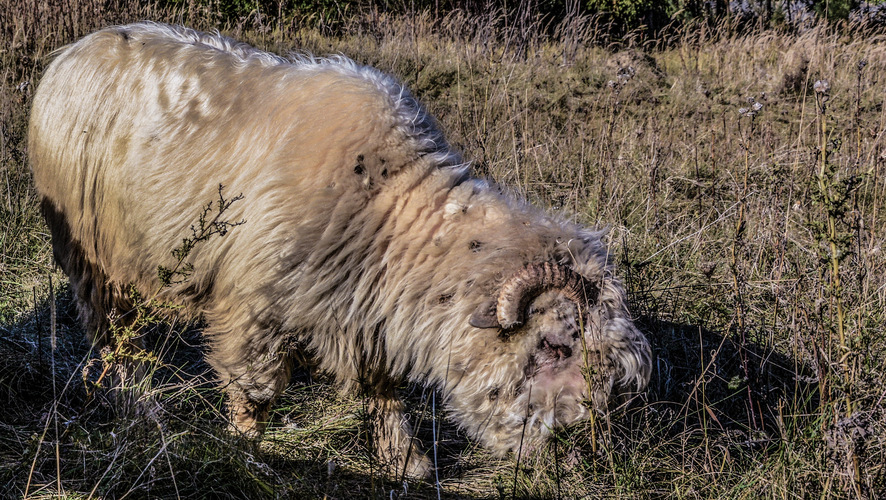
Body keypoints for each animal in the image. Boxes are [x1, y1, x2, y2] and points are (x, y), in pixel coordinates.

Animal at [29, 22, 652, 476]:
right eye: (555, 347)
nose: (575, 449)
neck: (392, 208)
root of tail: (75, 49)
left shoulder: (371, 312)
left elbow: (386, 393)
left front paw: (407, 462)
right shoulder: (252, 308)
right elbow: (254, 391)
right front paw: (246, 452)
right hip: (88, 250)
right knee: (107, 324)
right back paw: (132, 394)